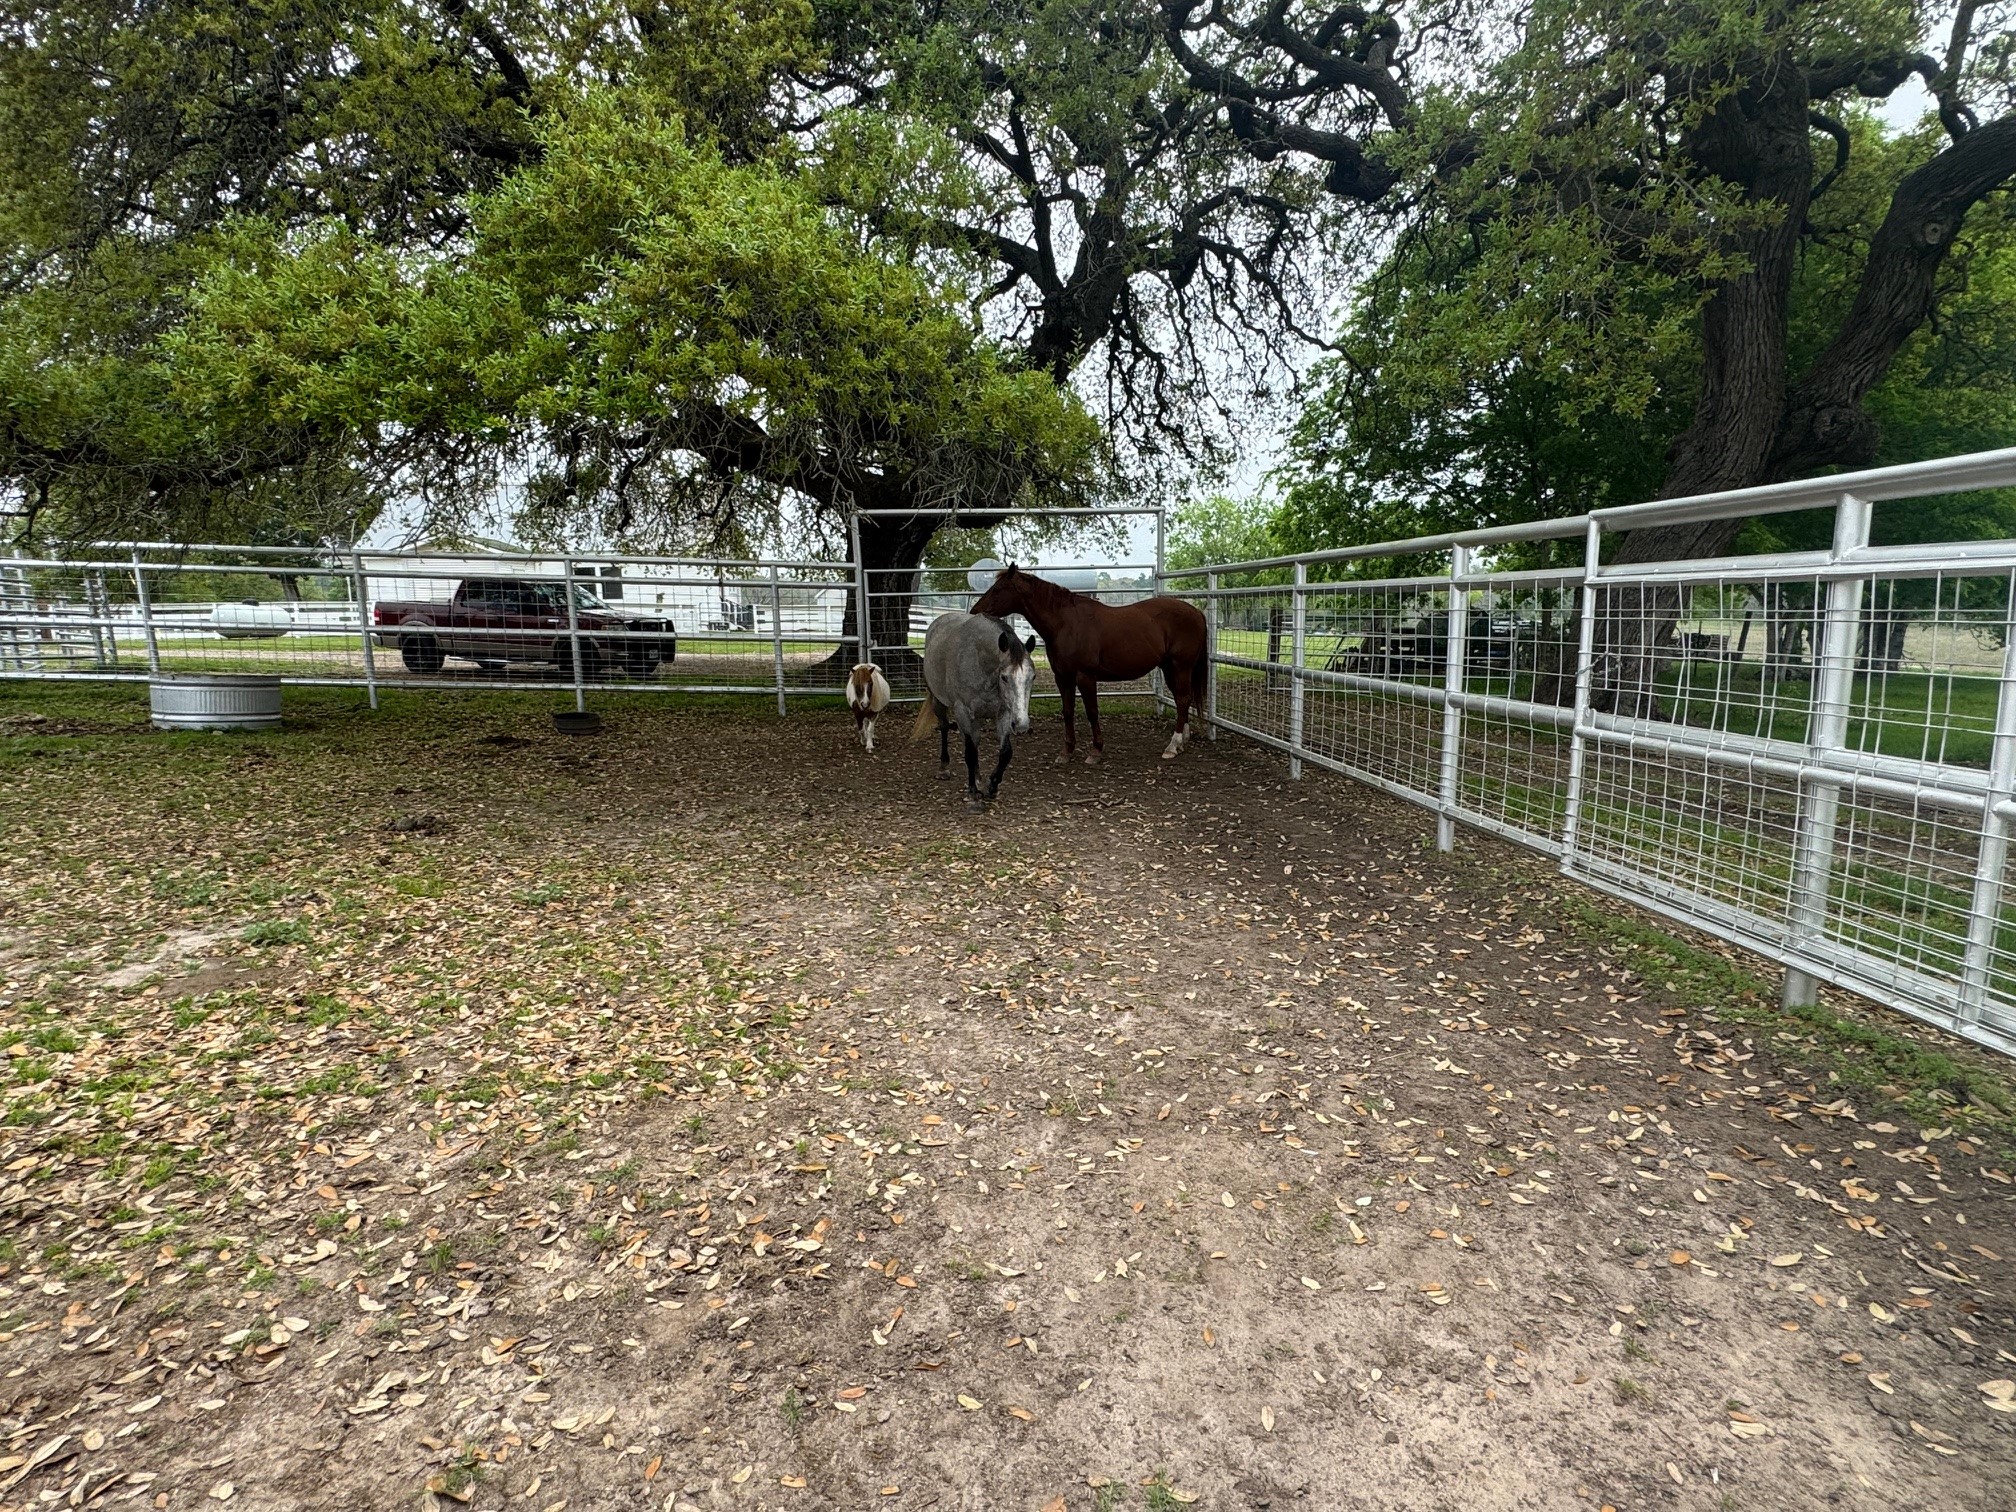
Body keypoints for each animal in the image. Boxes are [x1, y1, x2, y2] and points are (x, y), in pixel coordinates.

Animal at [910, 613, 1037, 808]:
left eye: (1033, 677)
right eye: (1004, 677)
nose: (1022, 725)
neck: (979, 662)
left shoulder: (1004, 713)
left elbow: (1005, 752)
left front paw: (992, 786)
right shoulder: (962, 711)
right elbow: (969, 752)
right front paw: (972, 793)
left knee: (975, 740)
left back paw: (978, 778)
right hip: (939, 702)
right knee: (945, 728)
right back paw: (944, 768)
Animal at [970, 564, 1208, 762]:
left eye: (999, 588)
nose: (975, 612)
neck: (1065, 623)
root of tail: (1196, 612)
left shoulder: (1085, 677)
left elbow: (1092, 712)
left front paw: (1096, 751)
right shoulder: (1062, 677)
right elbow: (1067, 711)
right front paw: (1066, 752)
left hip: (1181, 667)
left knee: (1183, 699)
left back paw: (1173, 746)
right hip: (1169, 668)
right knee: (1181, 700)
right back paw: (1182, 741)